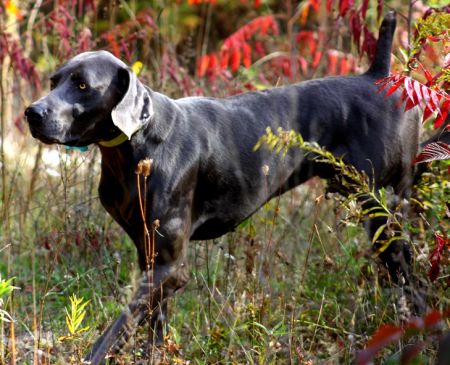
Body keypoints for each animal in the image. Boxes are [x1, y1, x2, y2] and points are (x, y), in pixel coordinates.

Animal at [24, 12, 420, 364]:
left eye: (82, 85)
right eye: (54, 81)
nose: (31, 113)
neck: (136, 145)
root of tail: (378, 75)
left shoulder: (169, 268)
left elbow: (115, 329)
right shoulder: (151, 257)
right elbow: (153, 328)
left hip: (385, 215)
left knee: (411, 282)